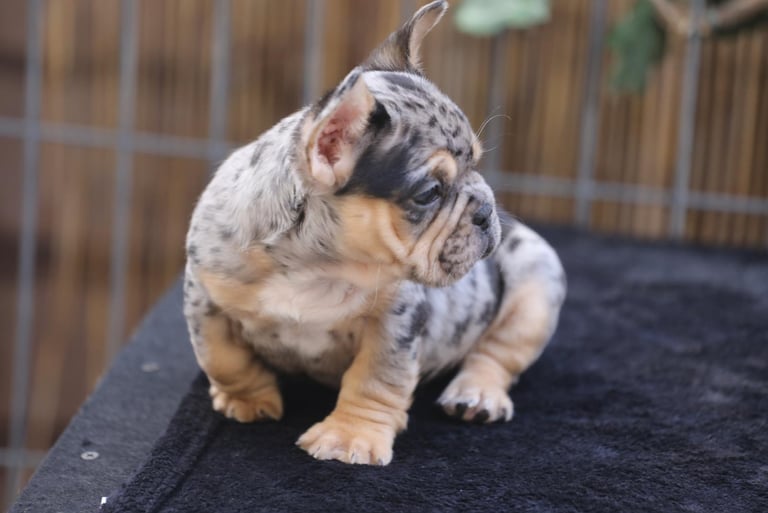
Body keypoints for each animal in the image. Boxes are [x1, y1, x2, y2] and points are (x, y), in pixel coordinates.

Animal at [183, 0, 565, 466]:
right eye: (429, 193)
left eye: (475, 163)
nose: (485, 209)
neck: (316, 265)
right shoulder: (206, 295)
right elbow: (223, 357)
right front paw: (248, 399)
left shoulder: (394, 319)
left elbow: (377, 376)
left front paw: (350, 436)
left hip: (536, 285)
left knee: (497, 353)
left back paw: (477, 394)